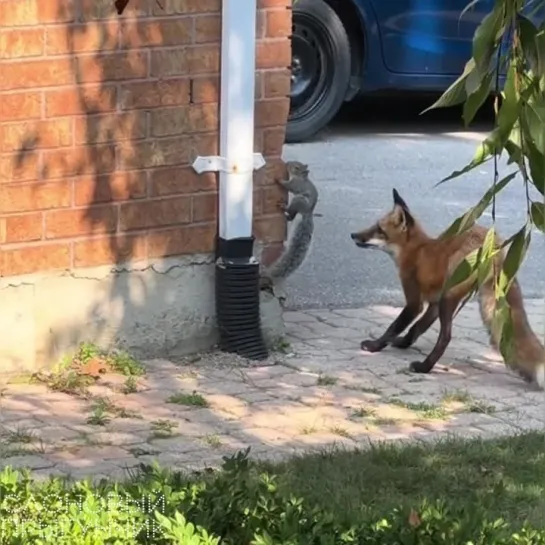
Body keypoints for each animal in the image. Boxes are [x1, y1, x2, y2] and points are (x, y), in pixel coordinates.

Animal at [260, 159, 318, 292]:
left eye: (296, 167)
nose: (287, 163)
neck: (300, 177)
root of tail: (307, 213)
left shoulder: (295, 185)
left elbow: (287, 185)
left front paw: (278, 179)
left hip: (298, 200)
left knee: (291, 210)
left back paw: (283, 207)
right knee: (292, 215)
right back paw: (287, 215)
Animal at [348, 187, 544, 386]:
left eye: (379, 229)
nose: (353, 235)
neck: (415, 250)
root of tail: (494, 247)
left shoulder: (415, 301)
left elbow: (394, 326)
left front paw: (375, 346)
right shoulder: (433, 303)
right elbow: (416, 328)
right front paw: (403, 343)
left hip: (448, 297)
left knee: (446, 337)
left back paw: (424, 367)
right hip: (452, 299)